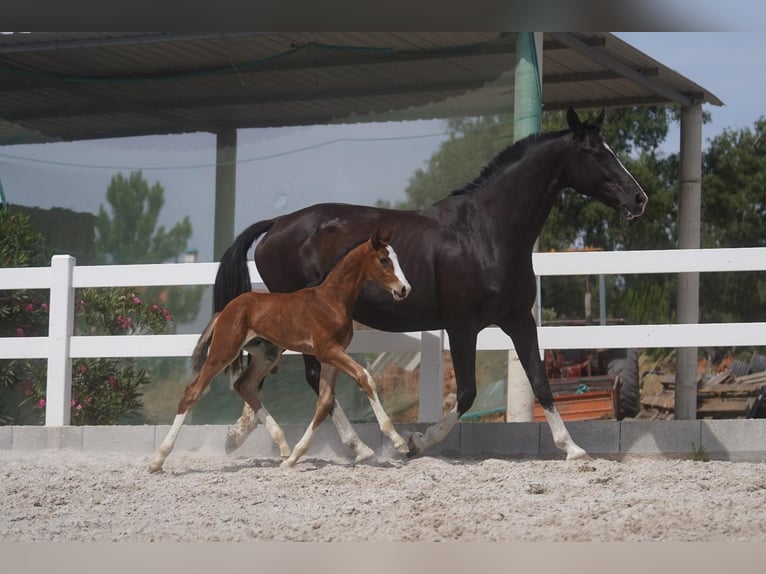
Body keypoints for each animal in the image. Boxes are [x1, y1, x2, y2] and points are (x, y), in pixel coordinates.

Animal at [148, 227, 412, 474]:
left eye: (397, 257)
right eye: (384, 259)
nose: (404, 289)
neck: (332, 299)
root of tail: (225, 310)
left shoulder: (331, 356)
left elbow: (325, 402)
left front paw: (295, 457)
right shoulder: (328, 351)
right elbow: (364, 378)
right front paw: (398, 441)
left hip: (266, 355)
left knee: (245, 385)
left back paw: (284, 447)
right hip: (224, 350)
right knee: (193, 392)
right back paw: (157, 460)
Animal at [214, 106, 648, 462]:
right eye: (597, 153)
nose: (639, 198)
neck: (486, 232)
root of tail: (277, 223)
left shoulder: (519, 319)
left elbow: (541, 383)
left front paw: (573, 448)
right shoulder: (461, 326)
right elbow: (467, 392)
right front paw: (416, 442)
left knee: (263, 373)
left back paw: (243, 435)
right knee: (303, 377)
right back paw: (356, 446)